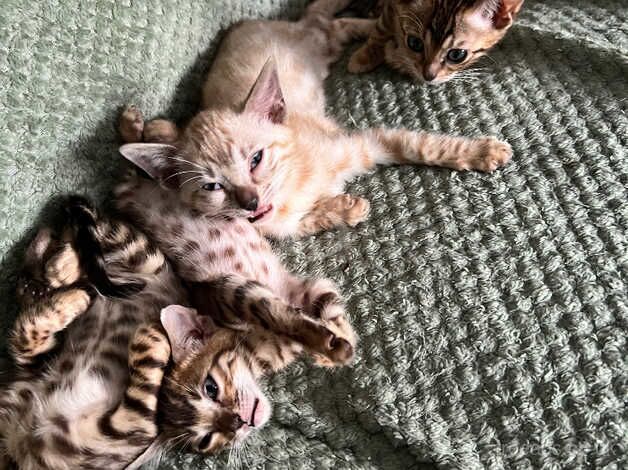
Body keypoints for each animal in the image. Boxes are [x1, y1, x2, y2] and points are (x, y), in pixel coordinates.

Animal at [0, 199, 350, 470]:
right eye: (207, 439)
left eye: (211, 388)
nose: (240, 423)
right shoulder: (231, 296)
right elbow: (271, 306)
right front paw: (331, 342)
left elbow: (289, 308)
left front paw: (332, 339)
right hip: (118, 429)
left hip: (141, 258)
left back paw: (58, 268)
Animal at [348, 0, 524, 83]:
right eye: (415, 43)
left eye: (457, 55)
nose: (428, 76)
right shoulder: (392, 5)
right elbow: (381, 29)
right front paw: (363, 57)